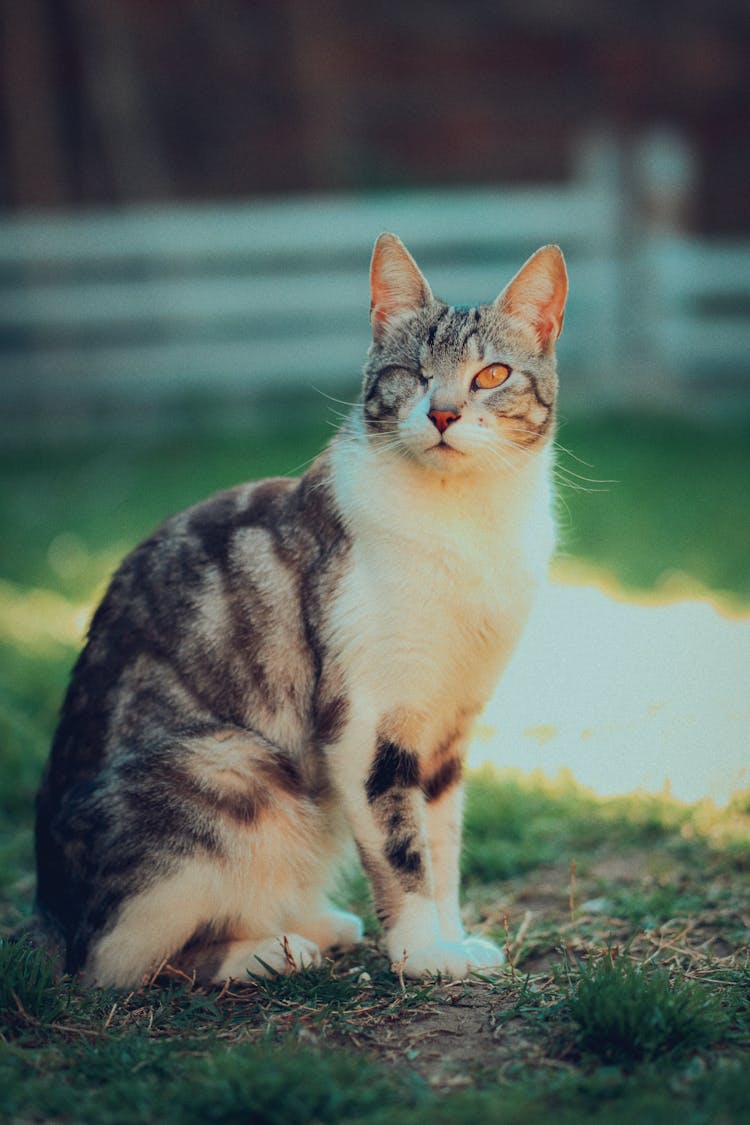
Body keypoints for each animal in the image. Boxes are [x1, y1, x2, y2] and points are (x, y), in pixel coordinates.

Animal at [32, 230, 566, 985]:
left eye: (491, 375)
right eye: (412, 372)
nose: (443, 413)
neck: (464, 521)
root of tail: (50, 915)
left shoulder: (449, 725)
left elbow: (442, 846)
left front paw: (454, 939)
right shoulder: (367, 718)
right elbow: (401, 846)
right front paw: (422, 953)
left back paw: (315, 923)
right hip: (232, 765)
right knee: (118, 965)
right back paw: (274, 949)